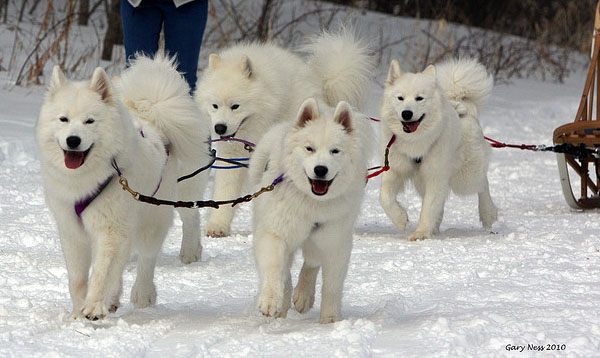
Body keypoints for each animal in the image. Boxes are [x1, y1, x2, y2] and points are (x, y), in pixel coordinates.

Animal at [35, 54, 211, 320]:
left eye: (89, 121)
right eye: (63, 119)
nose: (73, 140)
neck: (87, 179)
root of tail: (154, 121)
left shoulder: (110, 228)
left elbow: (101, 272)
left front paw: (94, 306)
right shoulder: (72, 230)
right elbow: (77, 279)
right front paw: (78, 312)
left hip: (153, 217)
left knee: (149, 256)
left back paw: (144, 293)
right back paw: (114, 299)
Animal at [197, 30, 370, 238]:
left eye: (235, 106)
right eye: (214, 106)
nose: (220, 128)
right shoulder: (232, 157)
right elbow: (225, 192)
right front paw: (217, 225)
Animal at [248, 35, 376, 324]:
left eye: (335, 151)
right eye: (309, 148)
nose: (320, 170)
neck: (312, 204)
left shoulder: (335, 241)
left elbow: (330, 283)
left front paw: (330, 320)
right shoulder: (275, 232)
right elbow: (275, 268)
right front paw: (271, 301)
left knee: (310, 263)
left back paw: (302, 297)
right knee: (287, 270)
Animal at [380, 57, 496, 241]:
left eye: (419, 98)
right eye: (400, 98)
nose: (407, 113)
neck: (415, 141)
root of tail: (463, 105)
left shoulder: (435, 176)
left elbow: (428, 208)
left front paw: (420, 233)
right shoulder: (394, 170)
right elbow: (384, 198)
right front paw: (400, 218)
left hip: (466, 177)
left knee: (483, 183)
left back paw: (488, 213)